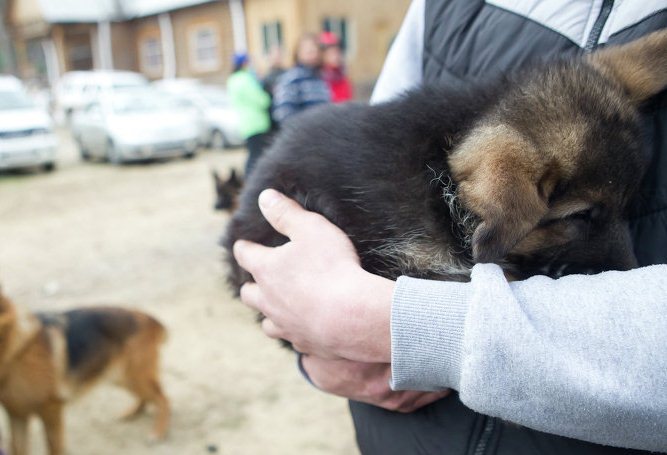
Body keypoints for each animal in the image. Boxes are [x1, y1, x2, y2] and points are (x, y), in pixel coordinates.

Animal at [0, 288, 170, 455]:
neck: (15, 350)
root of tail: (150, 319)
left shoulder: (51, 411)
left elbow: (53, 448)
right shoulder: (16, 416)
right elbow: (17, 448)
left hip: (133, 376)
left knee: (162, 398)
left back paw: (158, 432)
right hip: (122, 377)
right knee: (147, 396)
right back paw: (133, 412)